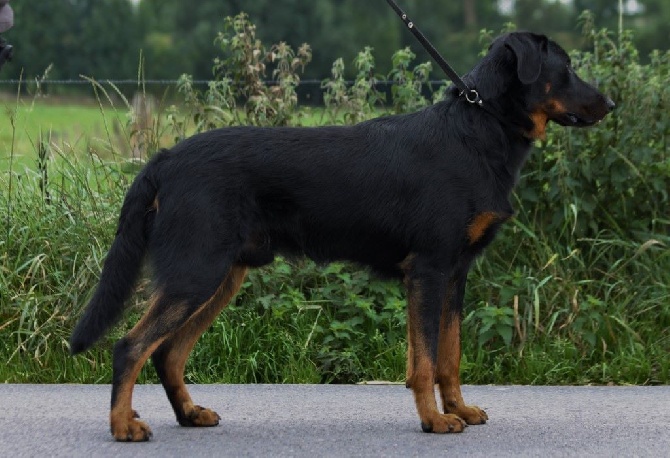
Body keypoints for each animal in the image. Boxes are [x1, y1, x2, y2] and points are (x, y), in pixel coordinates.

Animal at [71, 32, 616, 440]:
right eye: (565, 67)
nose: (611, 103)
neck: (479, 128)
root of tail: (165, 159)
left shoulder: (455, 276)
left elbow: (449, 355)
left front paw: (458, 409)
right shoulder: (429, 269)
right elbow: (424, 361)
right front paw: (434, 420)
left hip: (220, 277)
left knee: (168, 352)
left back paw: (188, 415)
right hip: (196, 271)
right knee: (131, 347)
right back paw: (123, 427)